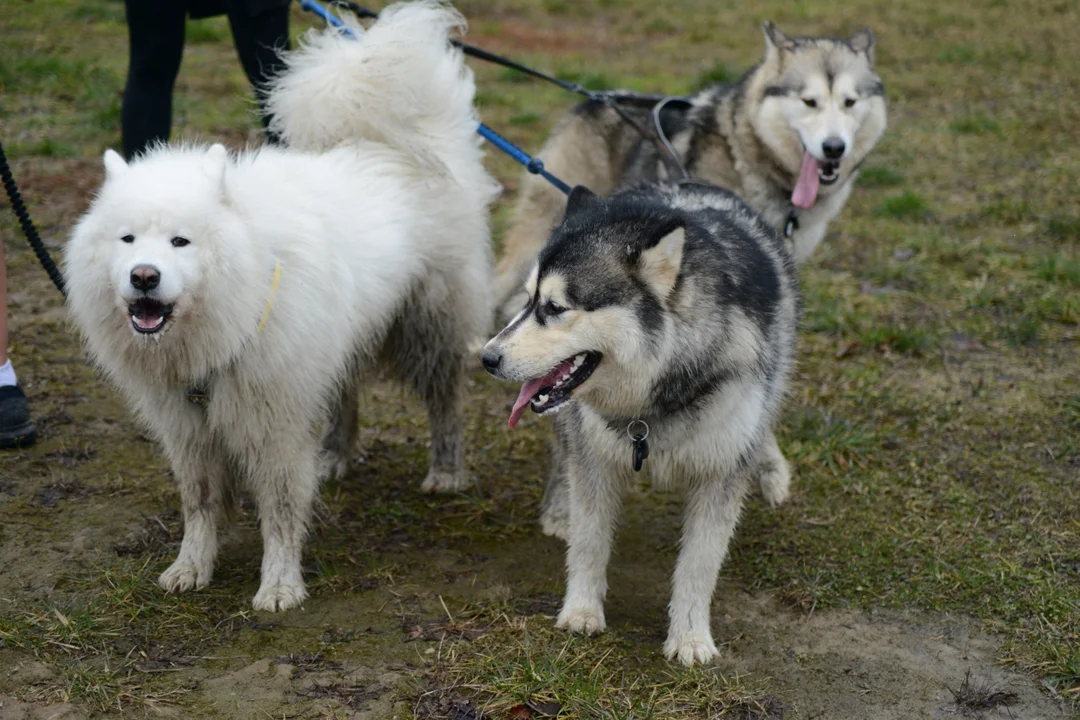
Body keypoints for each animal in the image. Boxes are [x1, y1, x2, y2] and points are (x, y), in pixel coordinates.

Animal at [66, 1, 501, 613]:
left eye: (180, 241)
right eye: (127, 239)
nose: (143, 277)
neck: (229, 315)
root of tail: (394, 144)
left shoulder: (273, 424)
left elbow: (280, 510)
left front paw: (279, 585)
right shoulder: (191, 430)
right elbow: (200, 504)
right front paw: (190, 567)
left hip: (427, 326)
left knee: (444, 401)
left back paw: (445, 472)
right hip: (333, 344)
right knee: (345, 395)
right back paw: (334, 457)